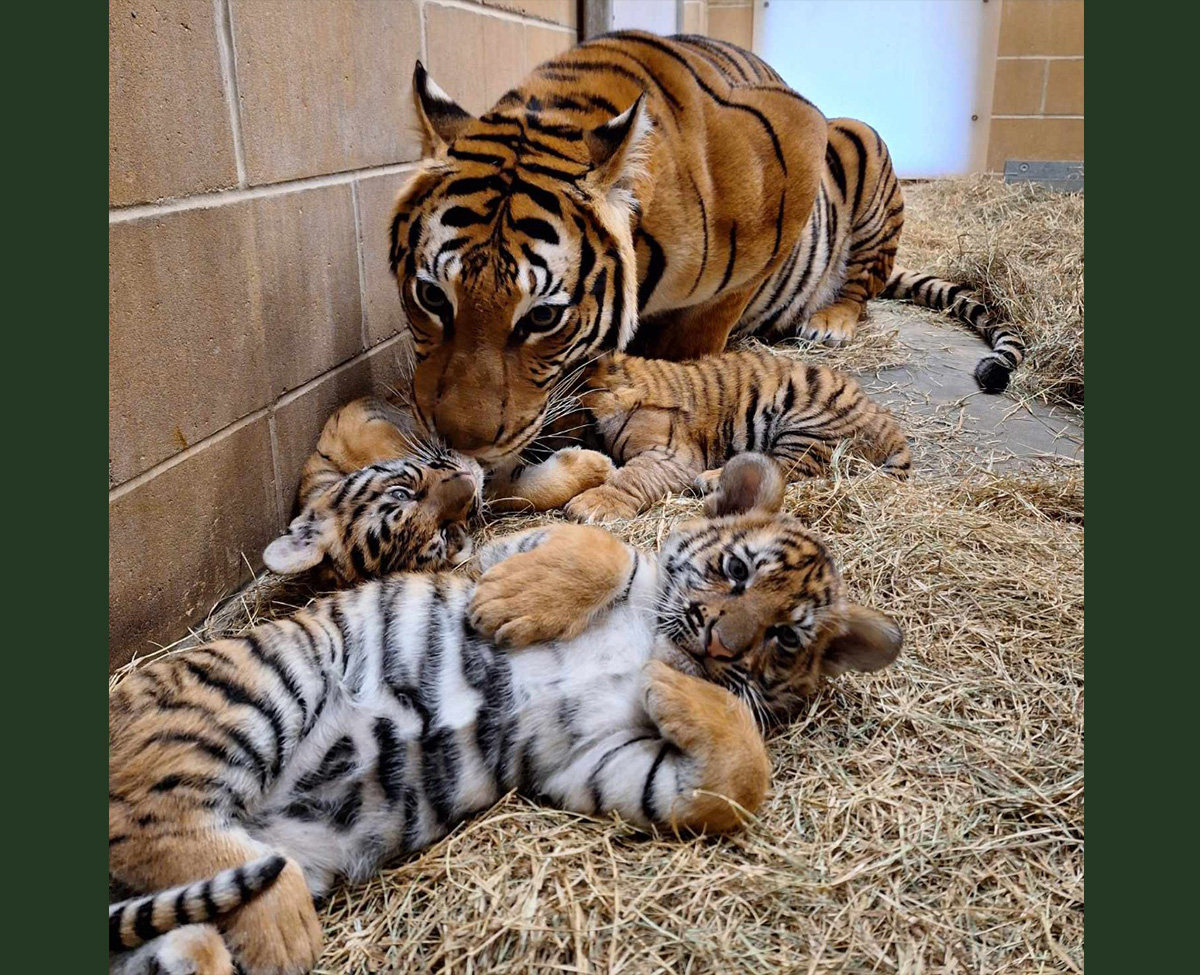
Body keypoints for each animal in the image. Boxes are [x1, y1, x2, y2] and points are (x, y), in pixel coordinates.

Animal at [109, 456, 902, 975]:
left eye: (785, 638)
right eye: (736, 572)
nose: (718, 644)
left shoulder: (598, 758)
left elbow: (737, 781)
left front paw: (683, 690)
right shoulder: (498, 551)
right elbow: (605, 547)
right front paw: (520, 605)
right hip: (264, 681)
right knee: (155, 816)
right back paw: (284, 930)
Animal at [390, 30, 1024, 473]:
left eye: (542, 316)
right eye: (431, 297)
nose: (459, 443)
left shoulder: (796, 150)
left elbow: (692, 355)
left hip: (859, 141)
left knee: (863, 282)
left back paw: (830, 319)